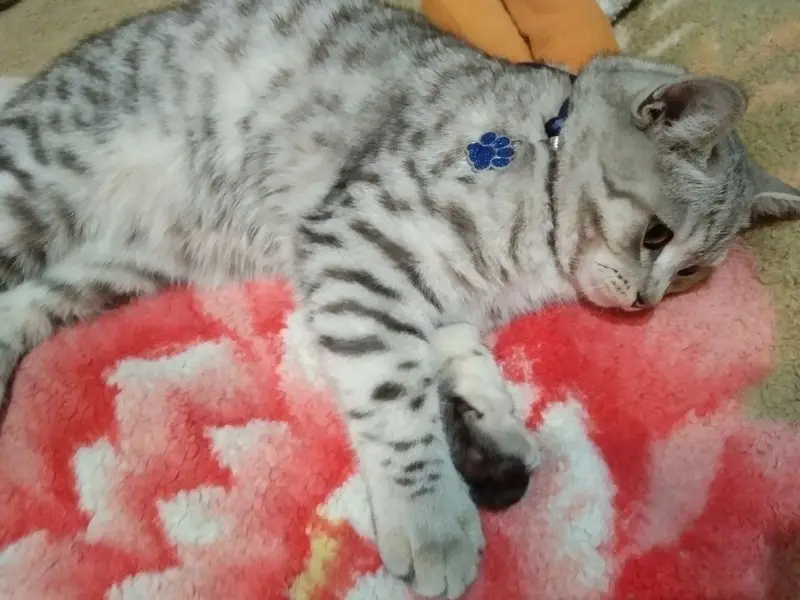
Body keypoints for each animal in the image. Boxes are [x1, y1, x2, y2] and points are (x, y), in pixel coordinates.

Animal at [0, 0, 798, 596]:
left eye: (692, 271)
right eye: (657, 235)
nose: (645, 303)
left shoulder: (432, 292)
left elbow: (453, 351)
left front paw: (489, 420)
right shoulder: (358, 244)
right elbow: (394, 390)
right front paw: (432, 515)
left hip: (115, 268)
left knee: (21, 307)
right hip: (34, 188)